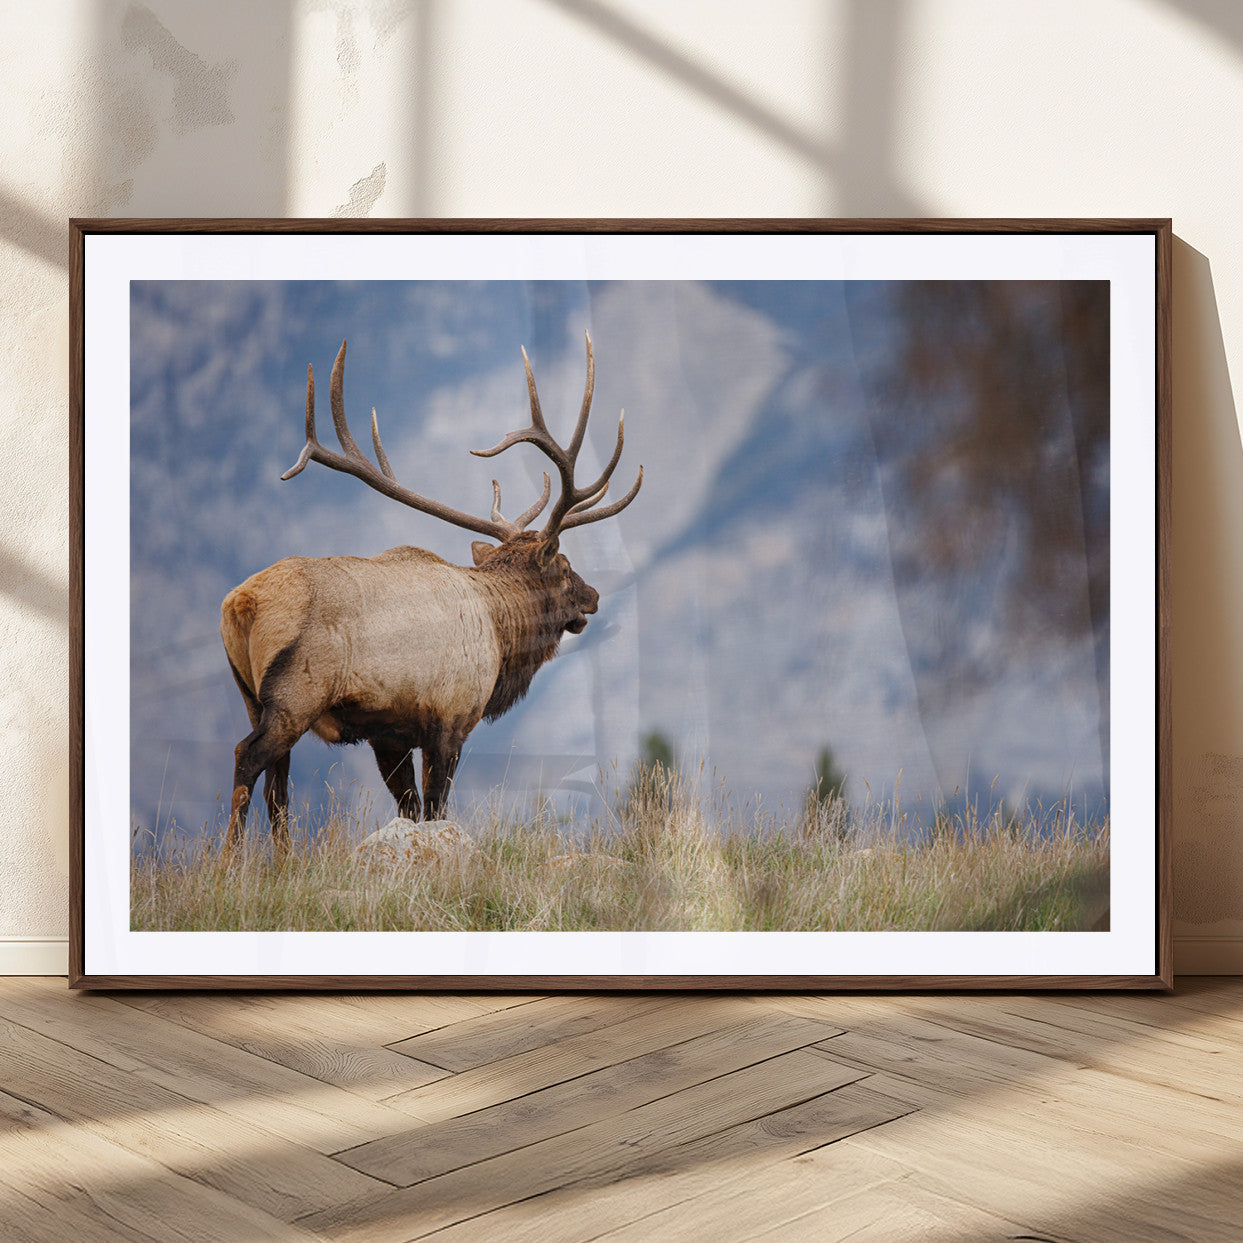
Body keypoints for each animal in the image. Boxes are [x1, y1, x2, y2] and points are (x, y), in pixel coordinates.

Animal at [219, 332, 641, 859]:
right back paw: (227, 861)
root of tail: (241, 604)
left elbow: (411, 807)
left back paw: (283, 861)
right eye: (564, 567)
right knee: (247, 758)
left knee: (278, 786)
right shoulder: (452, 717)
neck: (501, 635)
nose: (594, 596)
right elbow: (437, 807)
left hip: (251, 696)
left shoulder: (389, 733)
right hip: (295, 695)